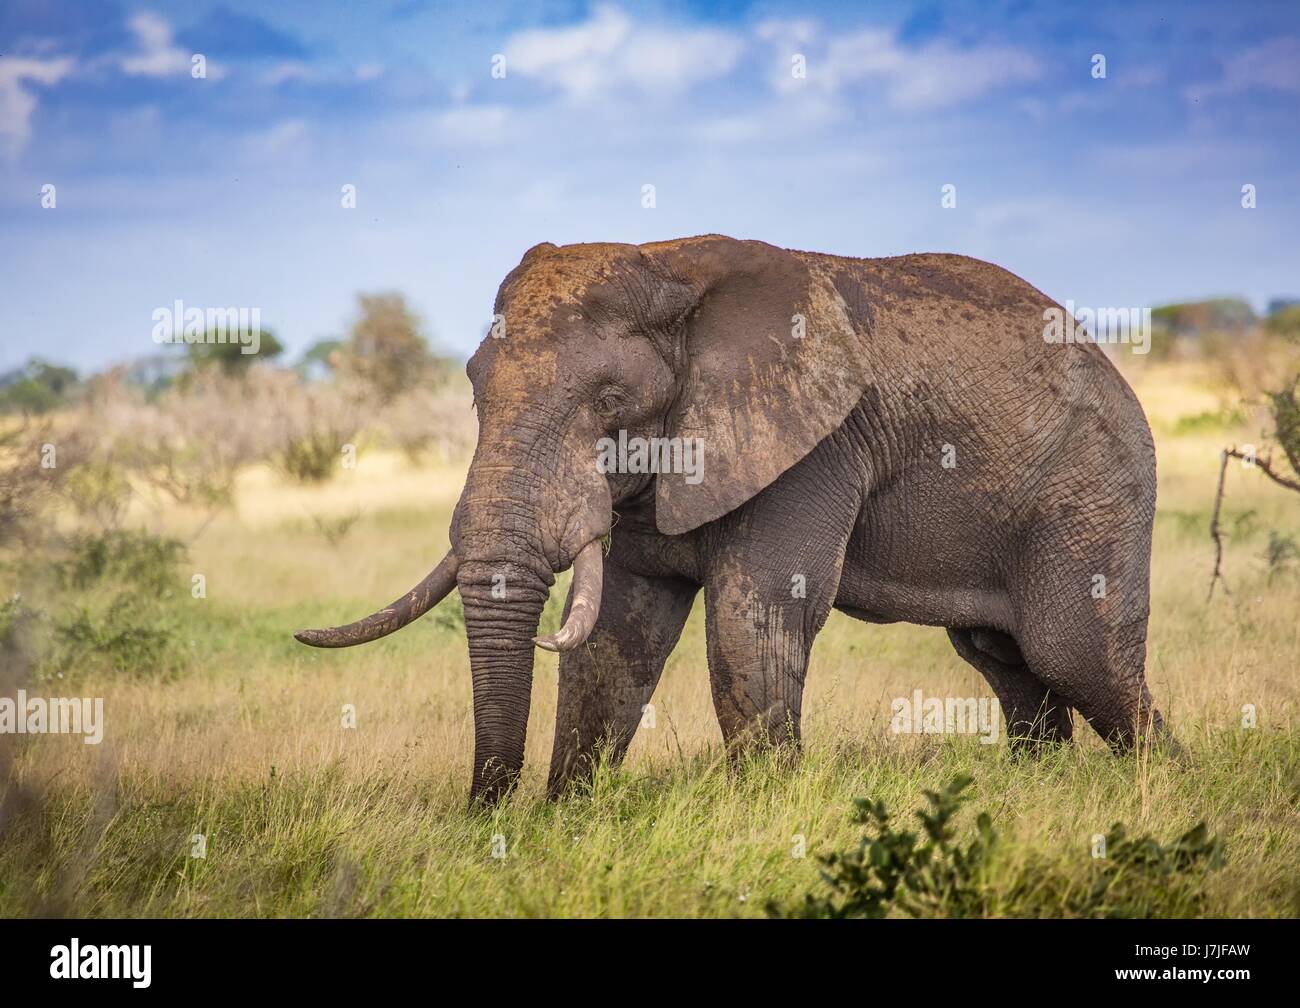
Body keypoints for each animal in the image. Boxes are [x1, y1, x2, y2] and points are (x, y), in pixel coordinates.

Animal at [297, 234, 1170, 806]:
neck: (671, 266)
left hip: (1091, 485)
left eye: (610, 401)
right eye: (474, 386)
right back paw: (1042, 789)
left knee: (1074, 655)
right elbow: (618, 638)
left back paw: (1167, 785)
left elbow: (753, 620)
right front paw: (566, 817)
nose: (491, 819)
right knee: (1006, 661)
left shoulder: (813, 444)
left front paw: (768, 815)